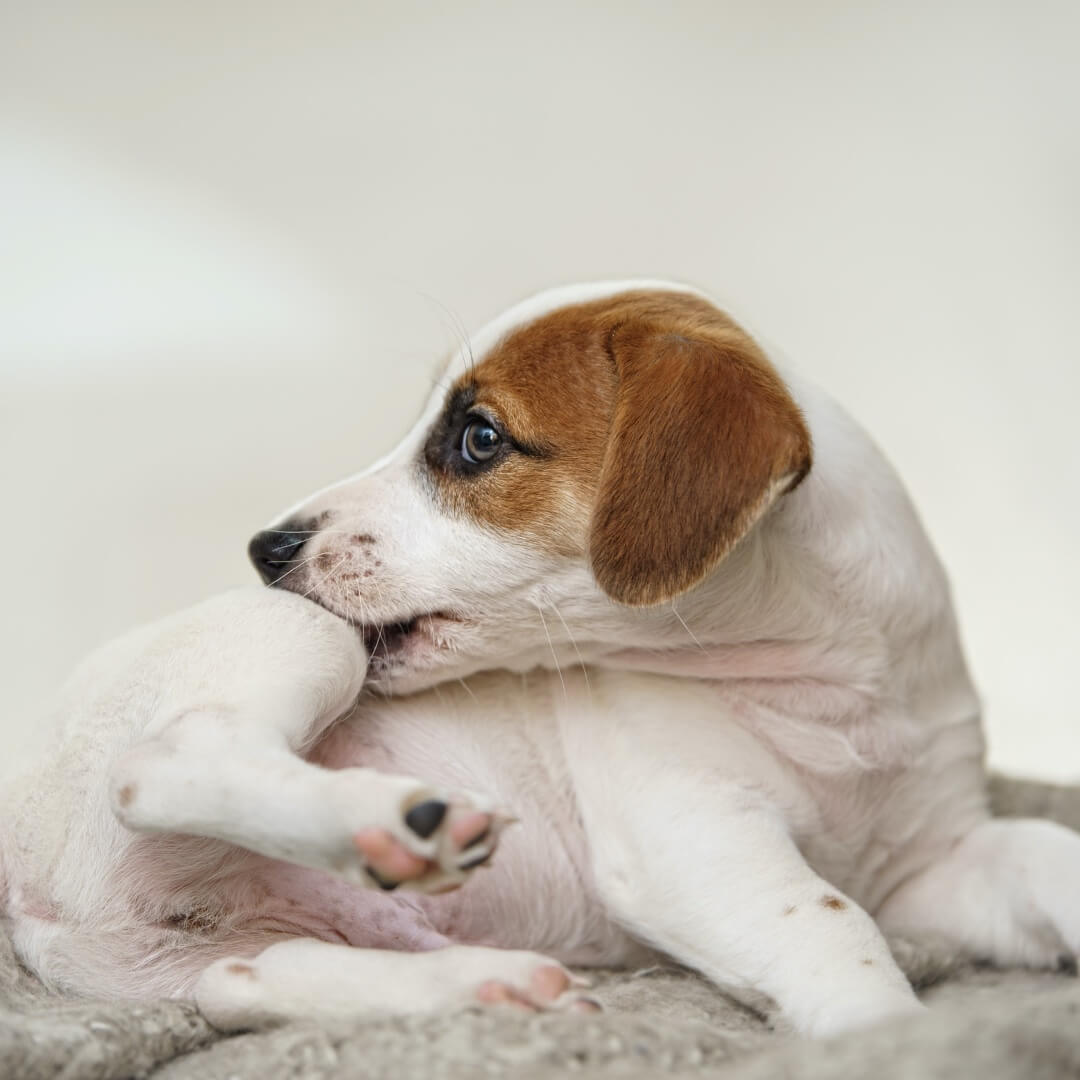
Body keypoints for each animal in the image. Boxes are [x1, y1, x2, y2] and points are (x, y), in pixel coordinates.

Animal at [4, 280, 1075, 1036]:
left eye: (479, 439)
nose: (266, 549)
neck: (826, 693)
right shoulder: (692, 838)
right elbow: (830, 925)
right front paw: (890, 1036)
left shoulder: (929, 868)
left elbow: (1044, 856)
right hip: (305, 639)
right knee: (160, 765)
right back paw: (397, 824)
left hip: (202, 957)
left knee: (243, 983)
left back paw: (491, 985)